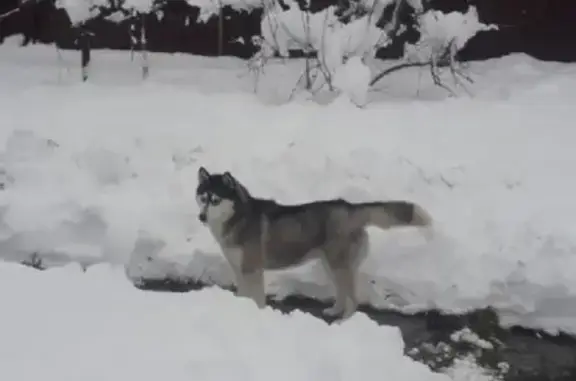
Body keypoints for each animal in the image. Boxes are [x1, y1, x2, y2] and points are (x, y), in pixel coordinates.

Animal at [195, 166, 432, 318]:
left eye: (215, 200)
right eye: (203, 198)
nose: (201, 217)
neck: (237, 217)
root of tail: (350, 207)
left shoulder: (252, 270)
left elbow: (257, 299)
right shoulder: (238, 269)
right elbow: (242, 295)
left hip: (339, 265)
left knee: (353, 300)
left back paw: (345, 322)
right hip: (330, 264)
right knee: (342, 293)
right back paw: (334, 310)